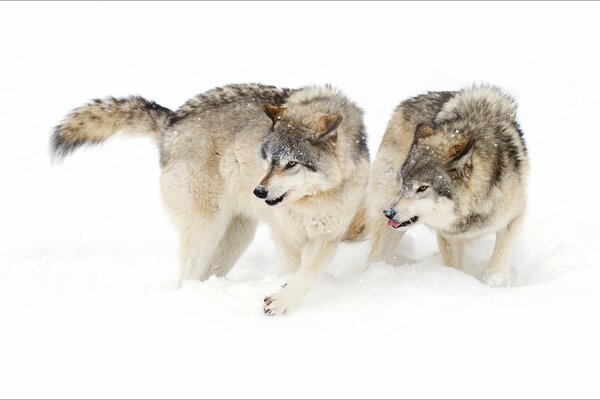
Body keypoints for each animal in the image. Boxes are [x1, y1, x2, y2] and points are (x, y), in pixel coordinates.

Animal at [51, 84, 370, 314]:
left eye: (291, 163)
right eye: (267, 159)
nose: (259, 192)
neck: (314, 198)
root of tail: (171, 123)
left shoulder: (329, 235)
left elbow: (310, 271)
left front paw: (289, 297)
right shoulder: (285, 235)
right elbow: (297, 269)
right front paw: (285, 298)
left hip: (234, 237)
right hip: (207, 228)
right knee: (186, 278)